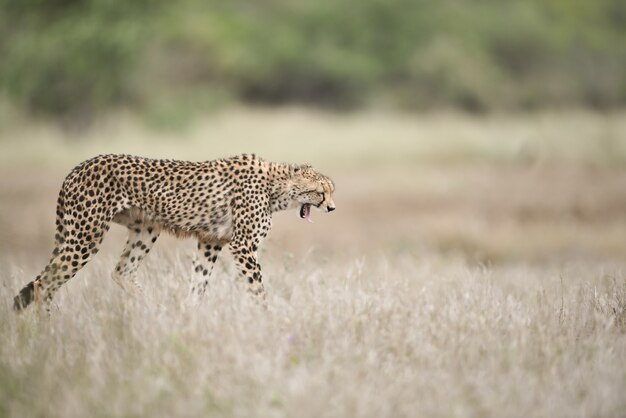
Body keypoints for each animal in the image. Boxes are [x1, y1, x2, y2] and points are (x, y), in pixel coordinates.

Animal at [12, 153, 334, 310]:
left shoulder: (210, 240)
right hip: (85, 235)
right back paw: (47, 334)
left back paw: (152, 308)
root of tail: (77, 168)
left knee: (121, 272)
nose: (331, 208)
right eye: (320, 192)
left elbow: (198, 283)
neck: (277, 186)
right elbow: (258, 289)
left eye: (331, 191)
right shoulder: (242, 245)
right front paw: (270, 320)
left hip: (145, 228)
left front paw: (190, 314)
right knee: (43, 284)